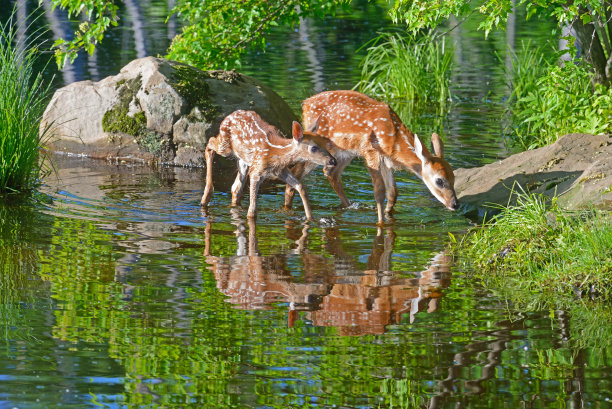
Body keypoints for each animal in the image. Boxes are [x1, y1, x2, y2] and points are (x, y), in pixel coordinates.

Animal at [200, 109, 334, 220]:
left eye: (326, 143)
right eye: (314, 148)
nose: (333, 161)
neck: (275, 153)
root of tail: (229, 116)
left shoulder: (280, 170)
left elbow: (301, 187)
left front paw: (310, 218)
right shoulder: (256, 171)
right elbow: (252, 212)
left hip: (243, 160)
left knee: (236, 188)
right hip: (225, 146)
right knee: (210, 142)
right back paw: (206, 196)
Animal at [284, 90, 456, 223]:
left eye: (454, 178)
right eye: (439, 181)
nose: (455, 204)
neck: (393, 140)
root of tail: (305, 104)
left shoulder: (387, 161)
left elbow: (393, 192)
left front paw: (388, 214)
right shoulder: (370, 151)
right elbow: (379, 192)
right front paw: (381, 222)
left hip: (345, 152)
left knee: (331, 173)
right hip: (318, 149)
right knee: (297, 172)